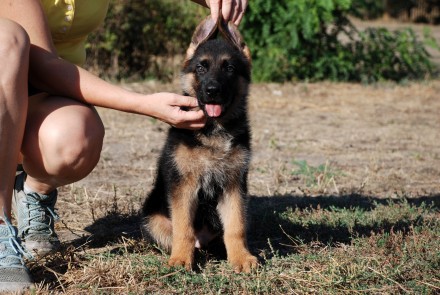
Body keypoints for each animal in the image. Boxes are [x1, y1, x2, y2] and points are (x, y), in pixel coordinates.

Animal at [141, 17, 258, 274]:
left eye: (229, 68)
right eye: (201, 68)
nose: (212, 90)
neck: (214, 130)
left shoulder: (234, 186)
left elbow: (236, 226)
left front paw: (241, 258)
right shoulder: (184, 186)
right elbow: (183, 228)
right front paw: (181, 260)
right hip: (153, 219)